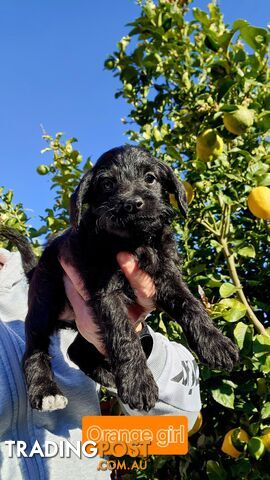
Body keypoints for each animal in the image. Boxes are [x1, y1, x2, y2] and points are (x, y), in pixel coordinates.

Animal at [22, 145, 238, 412]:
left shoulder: (167, 277)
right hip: (43, 305)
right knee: (33, 348)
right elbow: (123, 334)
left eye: (150, 178)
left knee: (75, 350)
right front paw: (138, 382)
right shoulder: (106, 292)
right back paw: (45, 391)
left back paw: (107, 375)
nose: (132, 204)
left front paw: (215, 343)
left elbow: (191, 305)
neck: (134, 242)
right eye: (106, 184)